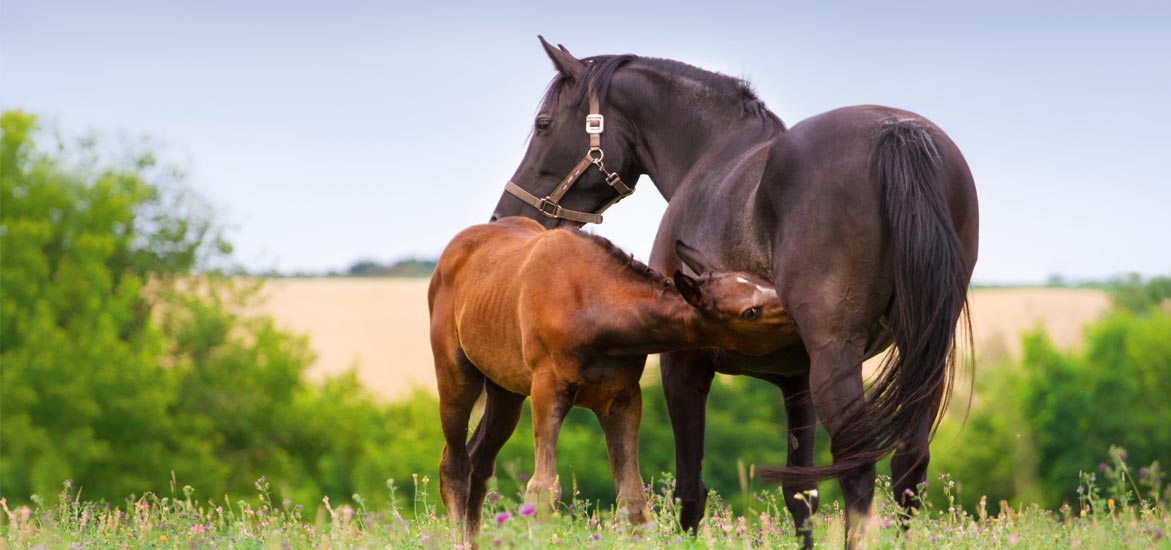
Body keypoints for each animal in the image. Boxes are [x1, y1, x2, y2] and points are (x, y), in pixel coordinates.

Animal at [430, 216, 796, 538]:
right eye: (750, 311)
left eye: (767, 283)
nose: (797, 313)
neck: (595, 307)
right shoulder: (548, 388)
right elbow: (543, 488)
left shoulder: (622, 398)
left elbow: (632, 498)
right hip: (455, 376)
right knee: (454, 465)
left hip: (506, 391)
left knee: (480, 462)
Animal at [487, 37, 978, 545]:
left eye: (544, 125)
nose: (505, 216)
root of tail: (897, 134)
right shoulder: (796, 381)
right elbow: (800, 495)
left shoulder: (683, 366)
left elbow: (689, 493)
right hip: (921, 361)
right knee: (909, 470)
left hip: (838, 359)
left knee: (858, 471)